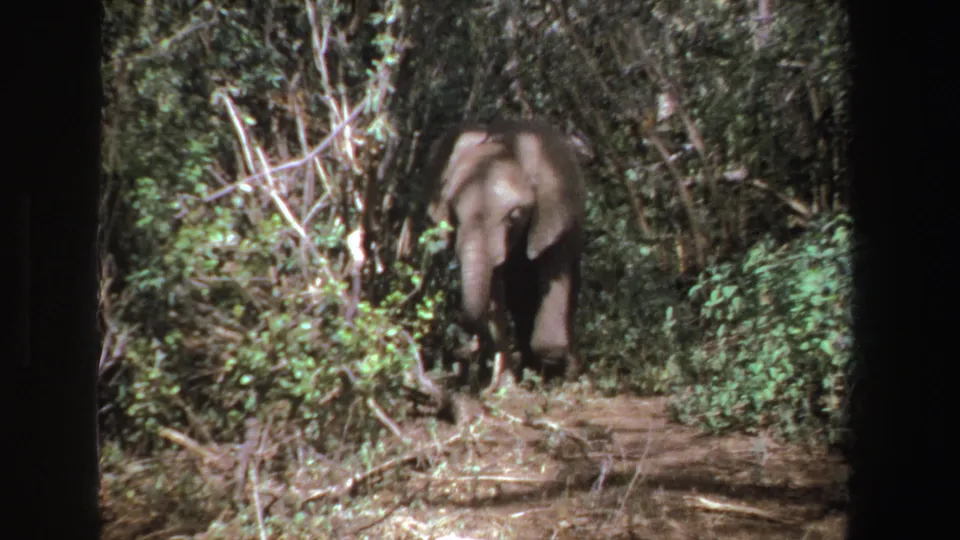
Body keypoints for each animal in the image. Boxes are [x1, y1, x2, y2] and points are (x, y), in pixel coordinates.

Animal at [424, 118, 587, 392]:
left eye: (514, 217)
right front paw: (505, 385)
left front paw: (561, 373)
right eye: (454, 215)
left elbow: (554, 272)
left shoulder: (554, 216)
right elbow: (495, 295)